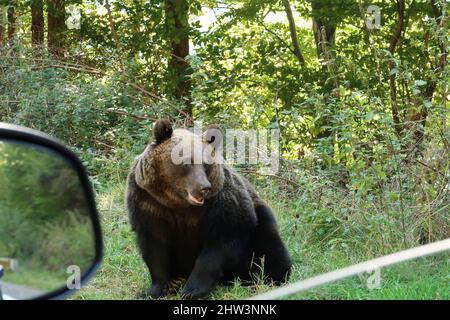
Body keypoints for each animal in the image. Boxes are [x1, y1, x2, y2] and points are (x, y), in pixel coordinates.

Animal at [125, 119, 292, 298]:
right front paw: (154, 290)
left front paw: (192, 290)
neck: (178, 203)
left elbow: (220, 243)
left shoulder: (221, 205)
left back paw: (271, 277)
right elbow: (155, 249)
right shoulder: (149, 204)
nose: (204, 187)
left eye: (205, 163)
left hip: (259, 221)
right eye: (186, 161)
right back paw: (176, 281)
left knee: (269, 244)